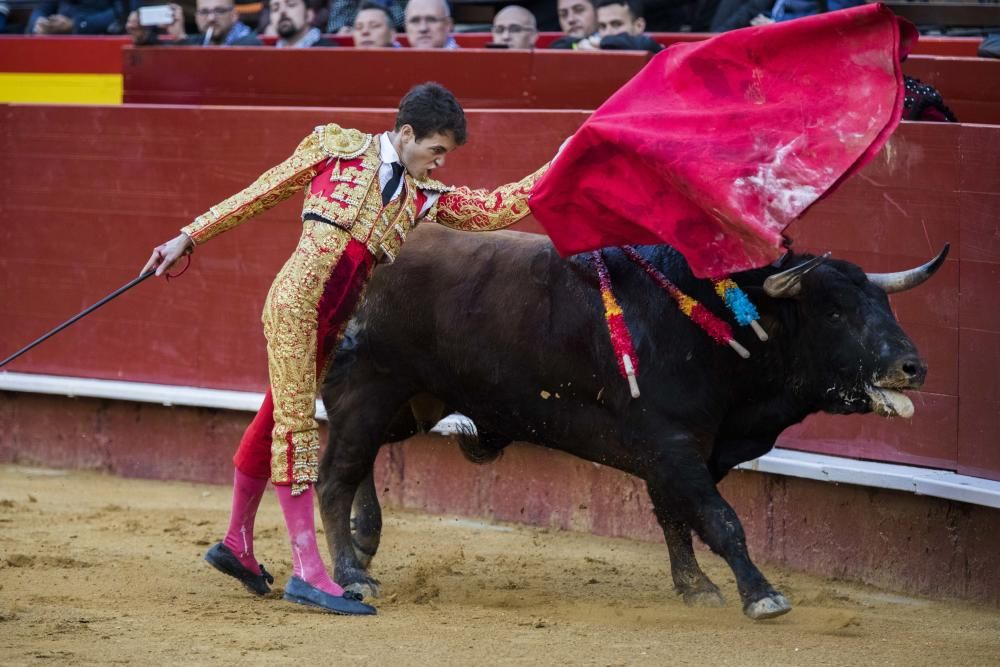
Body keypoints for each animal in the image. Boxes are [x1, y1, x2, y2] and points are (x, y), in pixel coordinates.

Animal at [316, 224, 948, 620]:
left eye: (884, 305)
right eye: (834, 312)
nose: (912, 367)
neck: (719, 324)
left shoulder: (688, 450)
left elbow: (676, 519)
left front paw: (696, 588)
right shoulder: (672, 445)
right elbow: (720, 519)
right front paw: (761, 595)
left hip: (408, 405)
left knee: (361, 460)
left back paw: (366, 540)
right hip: (369, 390)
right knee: (333, 476)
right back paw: (351, 574)